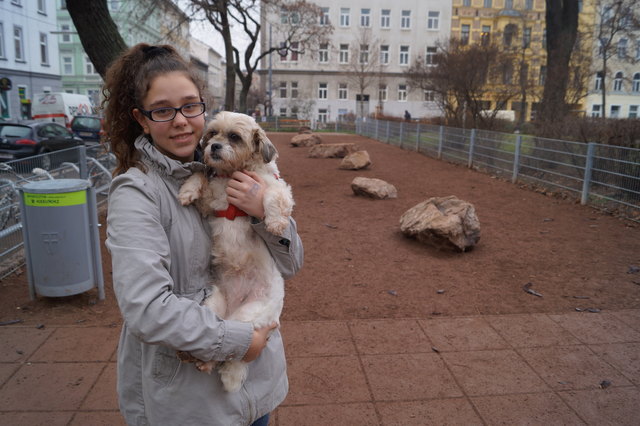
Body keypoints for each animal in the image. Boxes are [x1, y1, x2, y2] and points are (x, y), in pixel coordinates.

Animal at [176, 110, 294, 392]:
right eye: (212, 134)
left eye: (234, 137)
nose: (214, 147)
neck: (232, 174)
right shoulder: (210, 203)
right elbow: (200, 176)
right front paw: (187, 190)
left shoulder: (273, 186)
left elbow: (273, 196)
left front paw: (275, 223)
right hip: (212, 305)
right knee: (221, 341)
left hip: (247, 317)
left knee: (235, 352)